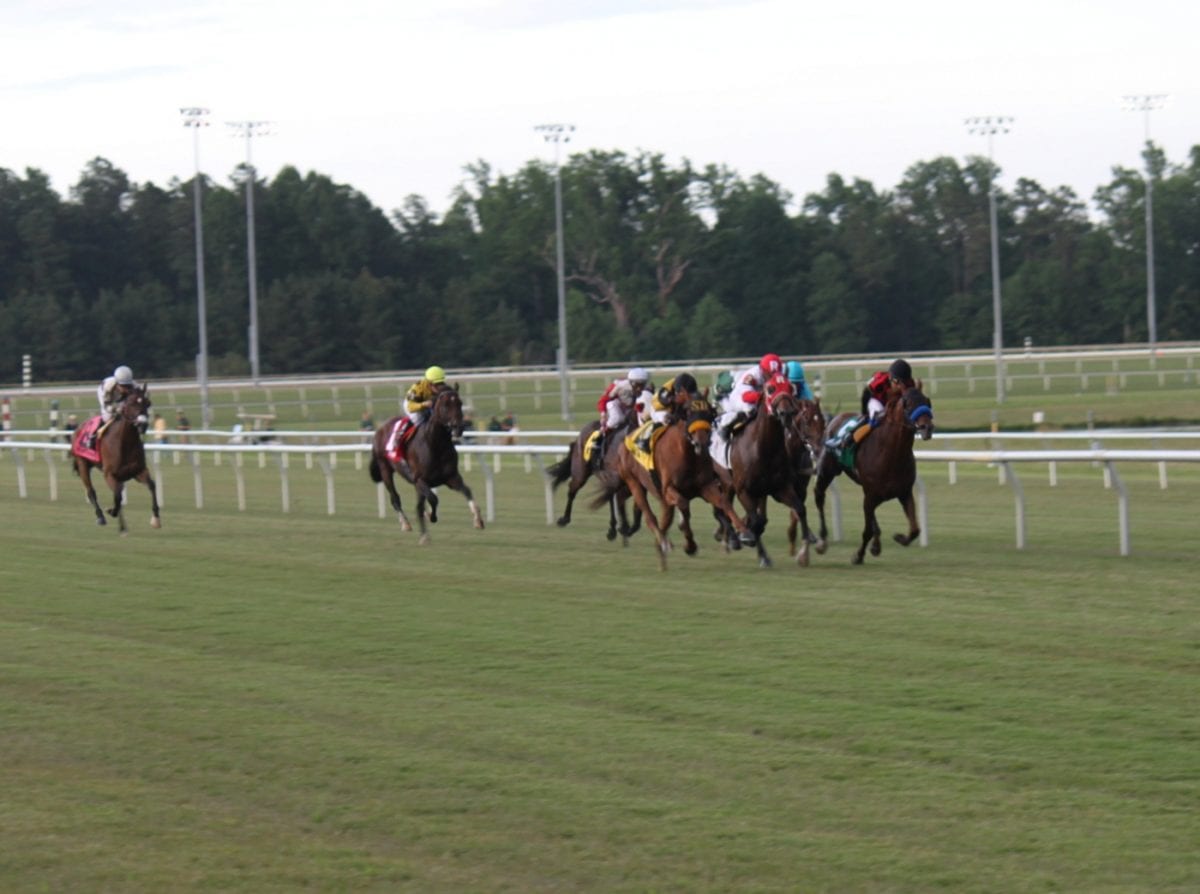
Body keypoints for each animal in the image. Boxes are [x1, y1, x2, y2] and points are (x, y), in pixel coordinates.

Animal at [71, 381, 160, 532]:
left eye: (148, 403)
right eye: (131, 403)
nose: (143, 424)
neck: (125, 443)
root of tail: (79, 427)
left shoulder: (138, 471)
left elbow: (152, 486)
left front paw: (156, 519)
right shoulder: (109, 474)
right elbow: (117, 497)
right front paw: (111, 511)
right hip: (82, 463)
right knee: (91, 491)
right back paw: (101, 516)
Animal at [364, 386, 482, 544]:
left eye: (460, 403)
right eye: (445, 405)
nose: (459, 427)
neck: (435, 444)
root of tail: (380, 429)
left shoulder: (451, 477)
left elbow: (467, 491)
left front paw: (478, 520)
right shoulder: (420, 480)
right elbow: (433, 499)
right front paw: (431, 520)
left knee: (418, 504)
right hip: (385, 470)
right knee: (395, 498)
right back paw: (406, 524)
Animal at [595, 391, 753, 571]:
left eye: (708, 412)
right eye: (689, 412)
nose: (702, 442)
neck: (686, 453)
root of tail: (625, 441)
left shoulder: (705, 486)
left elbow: (724, 503)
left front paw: (745, 533)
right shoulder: (669, 489)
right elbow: (684, 508)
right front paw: (690, 545)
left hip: (661, 498)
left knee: (664, 520)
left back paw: (662, 556)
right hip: (634, 483)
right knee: (650, 518)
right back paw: (664, 543)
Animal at [710, 372, 816, 568]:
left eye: (790, 387)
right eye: (771, 389)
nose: (786, 413)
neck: (763, 448)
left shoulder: (780, 488)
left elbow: (800, 509)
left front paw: (804, 553)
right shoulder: (744, 490)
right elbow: (756, 521)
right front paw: (748, 538)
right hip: (726, 483)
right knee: (722, 508)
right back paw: (734, 538)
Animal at [811, 379, 931, 561]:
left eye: (927, 401)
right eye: (908, 404)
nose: (927, 428)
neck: (891, 455)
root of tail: (834, 419)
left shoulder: (903, 492)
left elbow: (915, 529)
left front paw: (899, 537)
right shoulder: (870, 495)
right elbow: (866, 530)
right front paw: (858, 556)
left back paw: (876, 544)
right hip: (827, 471)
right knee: (819, 496)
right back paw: (822, 540)